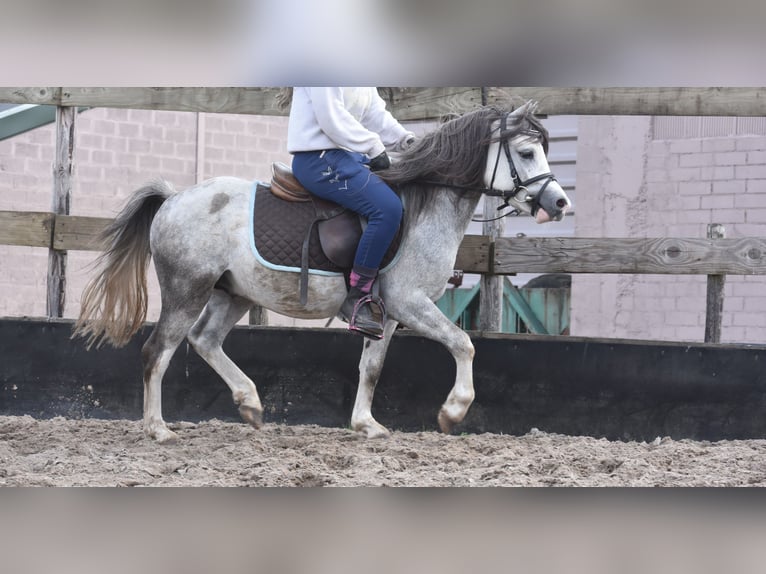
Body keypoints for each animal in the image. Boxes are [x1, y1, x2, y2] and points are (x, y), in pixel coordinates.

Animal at [74, 100, 571, 443]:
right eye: (527, 153)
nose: (559, 202)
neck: (423, 207)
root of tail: (174, 198)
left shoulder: (387, 314)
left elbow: (372, 367)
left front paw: (366, 425)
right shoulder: (411, 303)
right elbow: (464, 344)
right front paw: (453, 411)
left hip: (232, 293)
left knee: (205, 340)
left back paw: (250, 403)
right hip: (186, 290)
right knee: (157, 351)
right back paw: (158, 429)